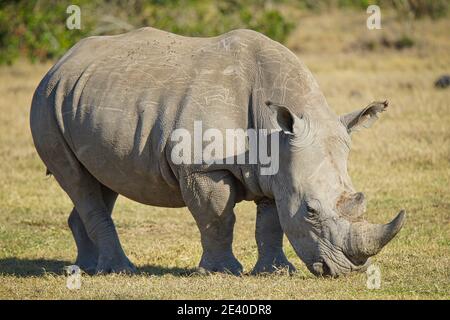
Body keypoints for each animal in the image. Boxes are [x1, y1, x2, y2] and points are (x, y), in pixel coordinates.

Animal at [29, 27, 406, 276]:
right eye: (311, 211)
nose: (344, 271)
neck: (276, 132)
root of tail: (60, 62)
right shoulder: (201, 167)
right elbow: (217, 217)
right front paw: (222, 272)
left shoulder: (276, 170)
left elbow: (270, 223)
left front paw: (275, 272)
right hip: (45, 103)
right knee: (77, 180)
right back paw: (120, 270)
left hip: (81, 99)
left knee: (100, 181)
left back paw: (84, 268)